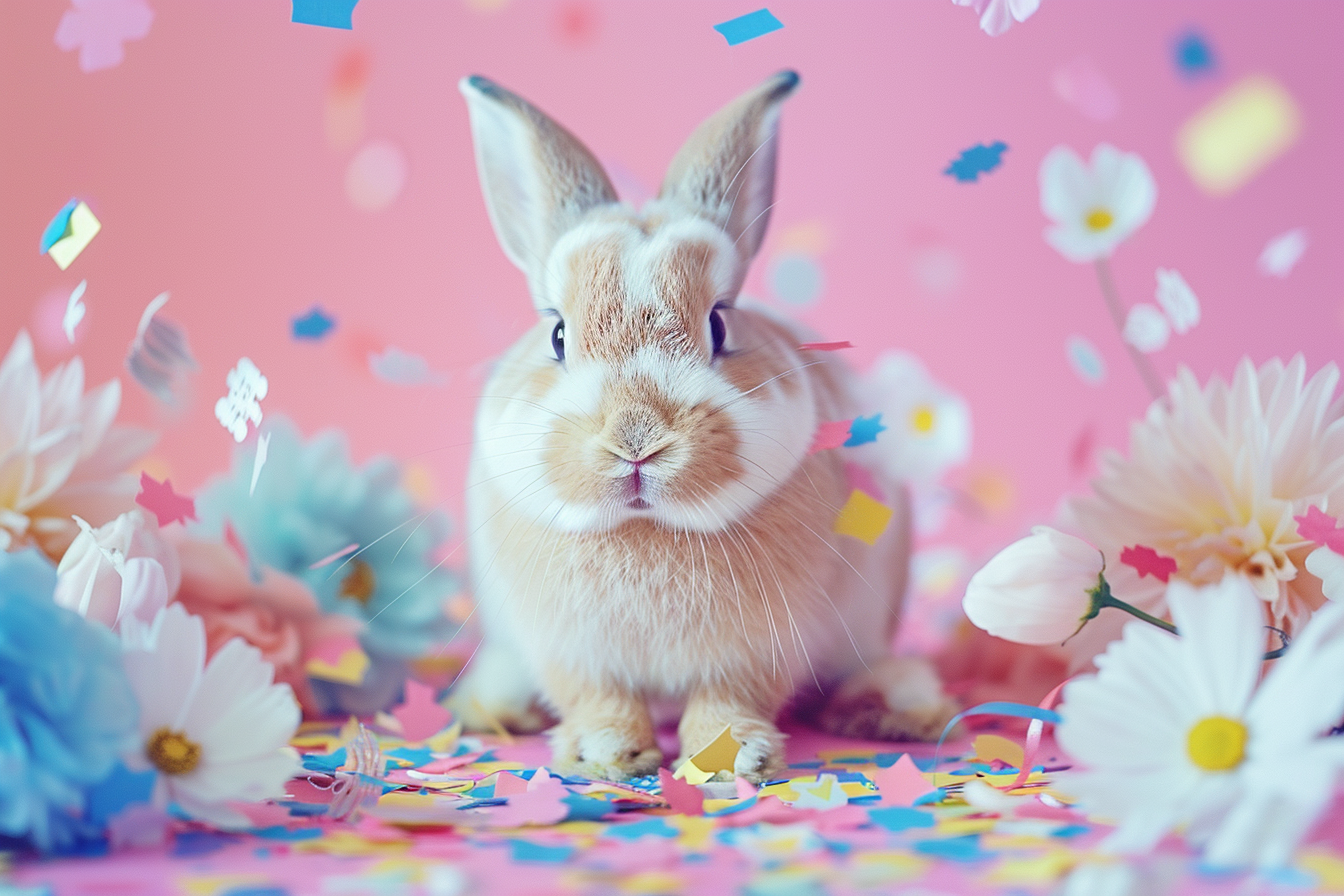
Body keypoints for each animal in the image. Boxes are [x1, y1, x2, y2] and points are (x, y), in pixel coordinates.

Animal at [445, 70, 960, 783]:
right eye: (557, 335)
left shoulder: (759, 647)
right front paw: (607, 753)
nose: (636, 440)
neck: (645, 531)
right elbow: (600, 698)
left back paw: (896, 707)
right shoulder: (570, 650)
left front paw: (732, 758)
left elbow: (728, 699)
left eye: (720, 325)